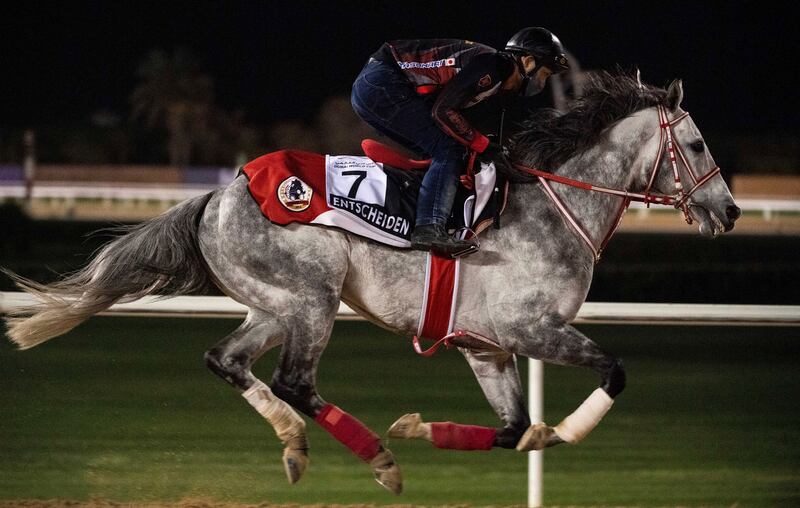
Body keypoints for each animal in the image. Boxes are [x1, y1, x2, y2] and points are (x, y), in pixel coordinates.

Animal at [6, 72, 740, 496]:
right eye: (698, 145)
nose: (730, 210)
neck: (556, 209)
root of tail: (220, 192)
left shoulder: (486, 347)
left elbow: (511, 430)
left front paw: (424, 426)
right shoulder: (532, 328)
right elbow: (611, 374)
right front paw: (561, 431)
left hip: (275, 304)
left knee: (227, 361)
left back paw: (298, 444)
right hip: (313, 296)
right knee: (294, 381)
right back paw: (377, 458)